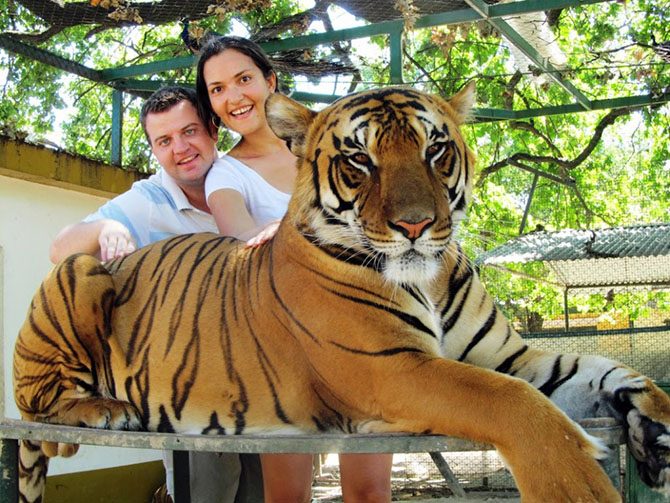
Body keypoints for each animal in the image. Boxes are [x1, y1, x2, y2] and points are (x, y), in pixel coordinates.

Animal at [13, 84, 670, 503]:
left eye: (436, 150)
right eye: (359, 159)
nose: (415, 226)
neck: (427, 277)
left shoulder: (514, 356)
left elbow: (609, 371)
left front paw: (656, 426)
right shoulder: (394, 369)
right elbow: (512, 402)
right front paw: (576, 488)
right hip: (81, 273)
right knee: (31, 403)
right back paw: (102, 408)